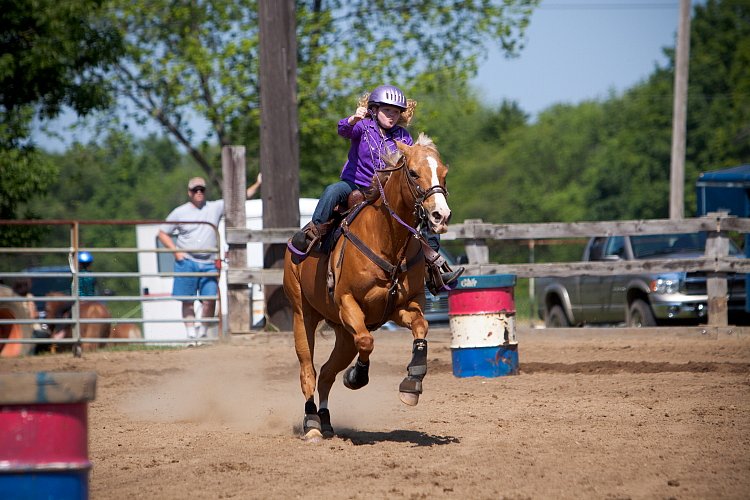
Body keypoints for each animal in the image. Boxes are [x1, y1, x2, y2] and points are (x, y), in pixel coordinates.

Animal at [284, 134, 452, 442]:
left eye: (444, 173)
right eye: (413, 173)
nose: (440, 215)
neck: (387, 241)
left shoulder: (403, 307)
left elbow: (421, 328)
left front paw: (412, 382)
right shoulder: (348, 303)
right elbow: (367, 341)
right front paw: (356, 377)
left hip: (342, 334)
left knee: (326, 373)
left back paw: (326, 421)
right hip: (303, 317)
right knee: (308, 372)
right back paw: (312, 424)